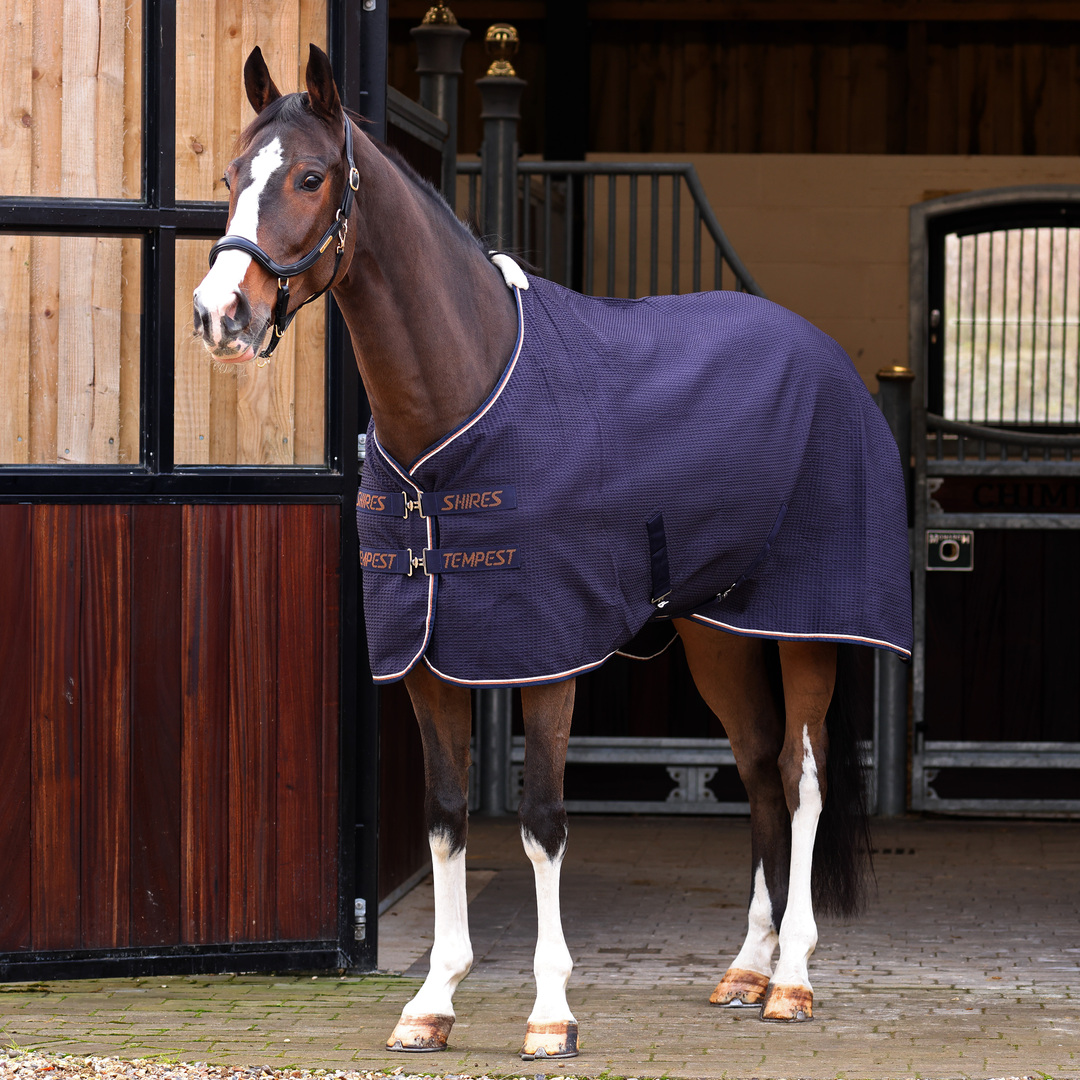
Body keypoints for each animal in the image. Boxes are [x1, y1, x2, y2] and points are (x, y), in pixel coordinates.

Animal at [192, 44, 913, 1060]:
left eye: (309, 176)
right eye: (228, 177)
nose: (221, 315)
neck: (459, 406)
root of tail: (824, 354)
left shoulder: (547, 656)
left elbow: (541, 826)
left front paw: (550, 1013)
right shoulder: (427, 656)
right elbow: (446, 819)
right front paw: (431, 1003)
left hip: (808, 629)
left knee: (800, 782)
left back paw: (794, 981)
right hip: (719, 637)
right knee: (759, 775)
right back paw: (746, 969)